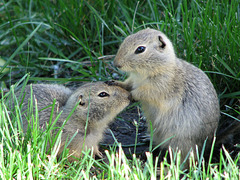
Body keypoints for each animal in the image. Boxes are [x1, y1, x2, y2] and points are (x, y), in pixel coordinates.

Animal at [111, 27, 220, 165]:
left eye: (140, 49)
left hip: (180, 143)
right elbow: (128, 84)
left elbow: (143, 92)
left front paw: (130, 95)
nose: (116, 64)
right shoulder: (133, 80)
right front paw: (115, 83)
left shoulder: (159, 86)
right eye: (127, 38)